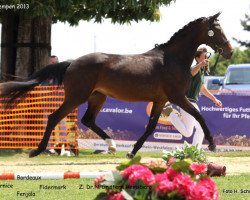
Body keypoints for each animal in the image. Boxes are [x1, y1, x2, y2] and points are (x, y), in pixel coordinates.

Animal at [0, 13, 232, 159]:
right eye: (217, 29)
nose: (229, 51)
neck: (172, 59)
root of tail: (72, 63)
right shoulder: (177, 97)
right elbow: (200, 116)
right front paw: (212, 144)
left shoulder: (160, 100)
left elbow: (150, 127)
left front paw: (131, 152)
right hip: (76, 97)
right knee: (53, 118)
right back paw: (36, 151)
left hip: (98, 97)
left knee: (88, 120)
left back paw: (111, 146)